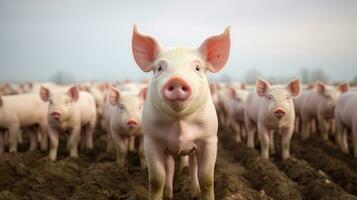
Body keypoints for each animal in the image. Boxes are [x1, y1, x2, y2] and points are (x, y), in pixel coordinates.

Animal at [132, 25, 229, 200]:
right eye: (159, 68)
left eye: (197, 67)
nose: (176, 80)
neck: (179, 123)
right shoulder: (151, 139)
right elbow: (156, 179)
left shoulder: (209, 138)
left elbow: (207, 178)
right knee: (170, 168)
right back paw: (169, 194)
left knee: (192, 166)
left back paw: (194, 193)